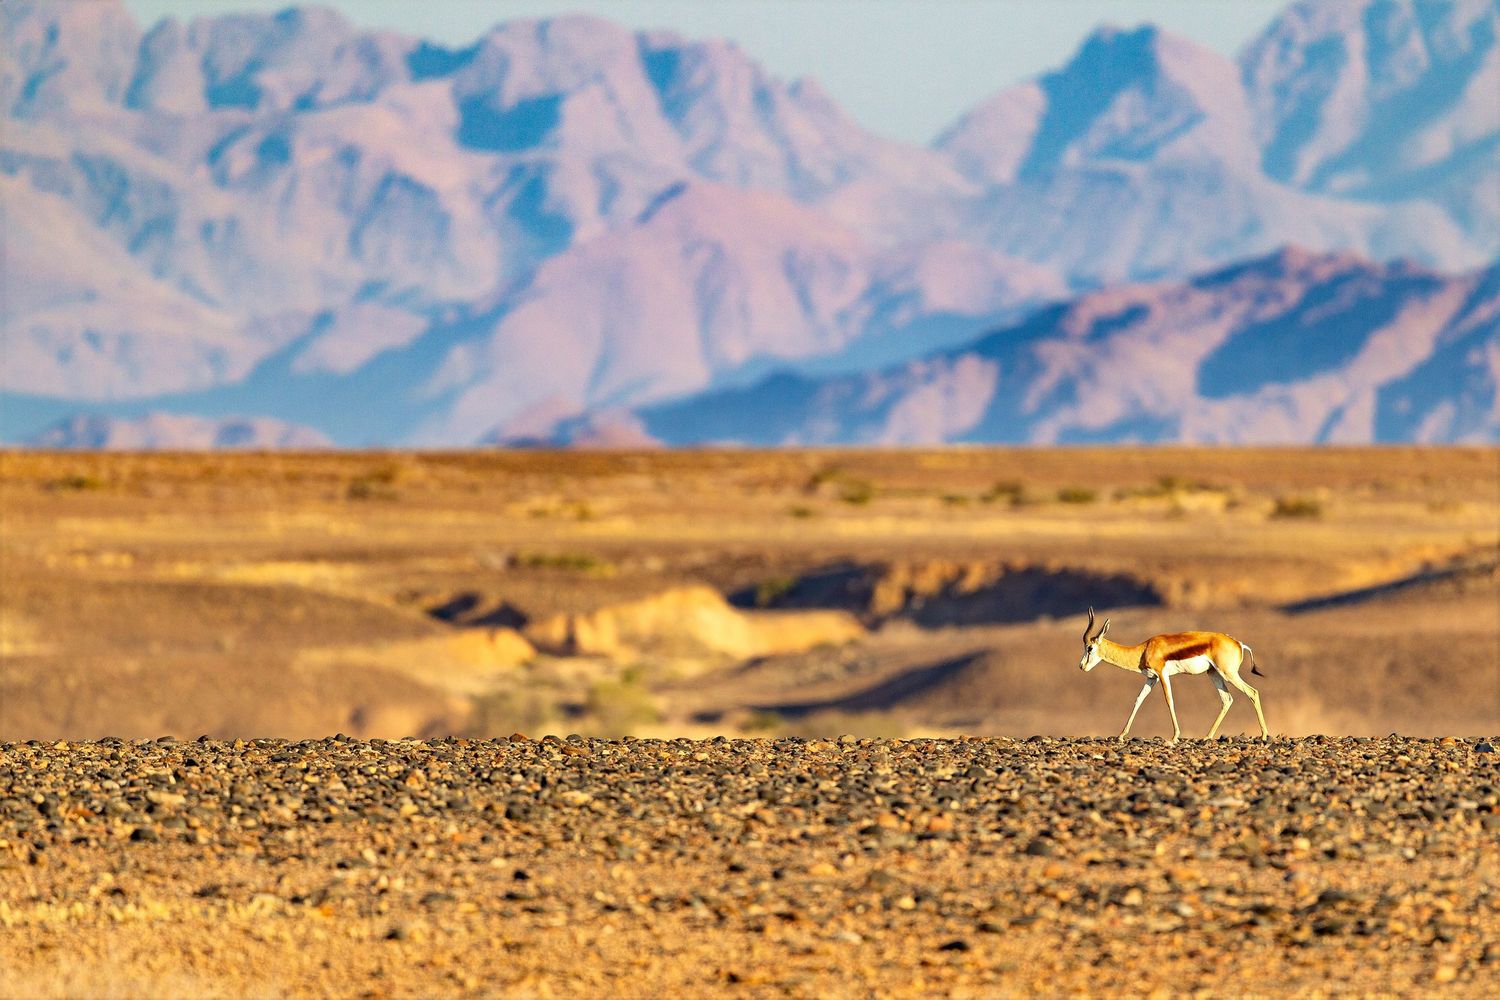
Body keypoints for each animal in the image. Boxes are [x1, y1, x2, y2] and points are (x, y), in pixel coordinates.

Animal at [1078, 608, 1268, 743]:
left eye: (1090, 648)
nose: (1081, 666)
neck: (1144, 649)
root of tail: (1239, 643)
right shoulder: (1151, 678)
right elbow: (1138, 699)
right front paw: (1121, 735)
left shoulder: (1162, 674)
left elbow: (1169, 700)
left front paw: (1175, 736)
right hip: (1214, 673)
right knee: (1227, 699)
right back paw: (1207, 737)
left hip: (1228, 674)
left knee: (1252, 692)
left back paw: (1264, 735)